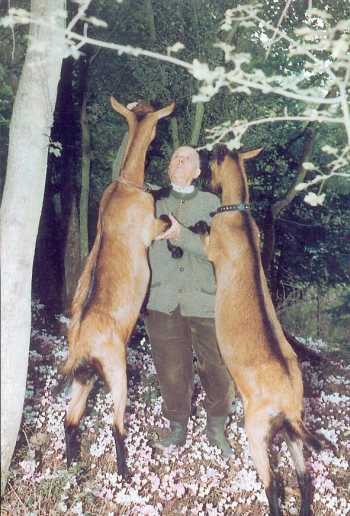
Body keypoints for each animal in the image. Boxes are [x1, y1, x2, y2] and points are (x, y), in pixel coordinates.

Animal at [61, 98, 175, 480]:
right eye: (155, 124)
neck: (125, 185)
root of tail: (81, 346)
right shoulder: (151, 228)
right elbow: (166, 222)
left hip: (85, 380)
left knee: (71, 419)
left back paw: (73, 467)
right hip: (116, 371)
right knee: (116, 424)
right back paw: (125, 474)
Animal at [205, 145, 336, 516]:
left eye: (210, 163)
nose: (207, 183)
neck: (237, 214)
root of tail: (287, 403)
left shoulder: (211, 246)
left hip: (257, 431)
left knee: (272, 485)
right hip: (293, 434)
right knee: (304, 478)